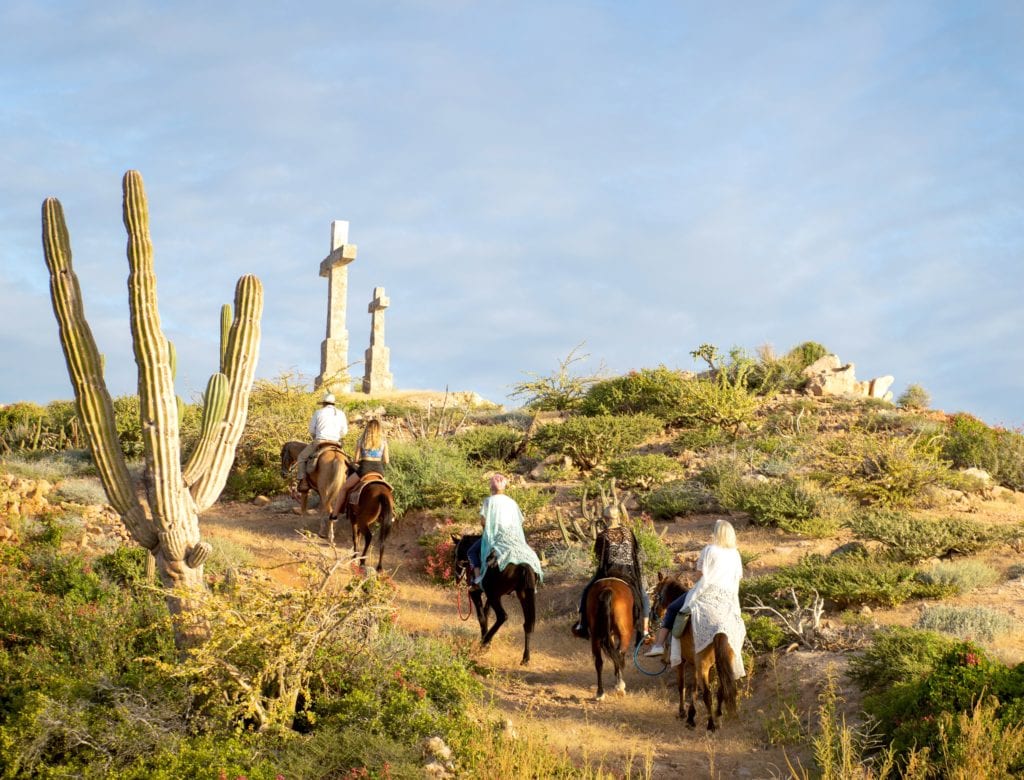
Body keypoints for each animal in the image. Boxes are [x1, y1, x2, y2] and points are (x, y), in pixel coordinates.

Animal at [454, 532, 540, 667]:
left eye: (455, 554)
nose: (457, 577)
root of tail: (523, 564)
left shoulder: (477, 593)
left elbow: (482, 617)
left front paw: (485, 642)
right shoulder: (492, 596)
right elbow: (486, 613)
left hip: (494, 595)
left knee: (502, 616)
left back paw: (484, 642)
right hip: (524, 594)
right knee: (528, 624)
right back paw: (525, 658)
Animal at [651, 573, 741, 728]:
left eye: (656, 592)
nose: (652, 614)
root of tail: (719, 628)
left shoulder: (682, 661)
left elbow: (682, 686)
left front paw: (682, 712)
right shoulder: (694, 664)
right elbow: (693, 689)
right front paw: (691, 716)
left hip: (703, 664)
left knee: (707, 694)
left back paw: (711, 725)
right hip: (722, 661)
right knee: (722, 689)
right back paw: (718, 716)